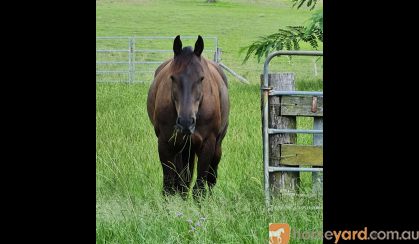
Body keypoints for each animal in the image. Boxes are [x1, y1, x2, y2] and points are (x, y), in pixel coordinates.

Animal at [148, 35, 231, 197]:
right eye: (172, 78)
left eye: (201, 78)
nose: (186, 122)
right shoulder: (166, 143)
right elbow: (169, 185)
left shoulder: (207, 144)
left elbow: (200, 187)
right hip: (185, 149)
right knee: (182, 181)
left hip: (216, 146)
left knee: (211, 177)